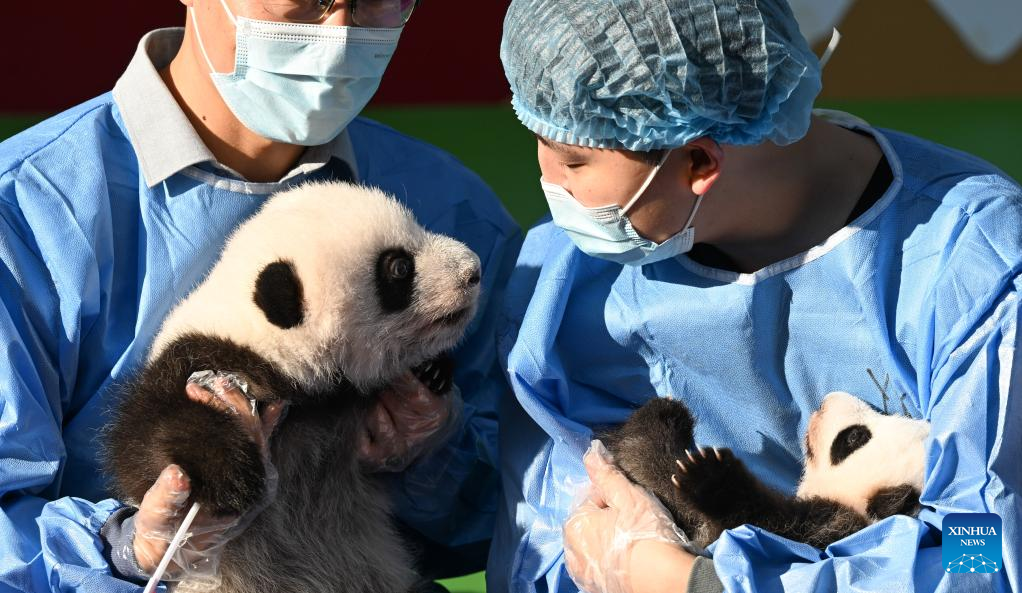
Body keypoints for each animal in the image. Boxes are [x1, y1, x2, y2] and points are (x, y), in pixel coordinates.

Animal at [603, 391, 931, 549]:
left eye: (853, 438)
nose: (827, 399)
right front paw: (665, 415)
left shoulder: (827, 529)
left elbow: (752, 521)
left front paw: (712, 478)